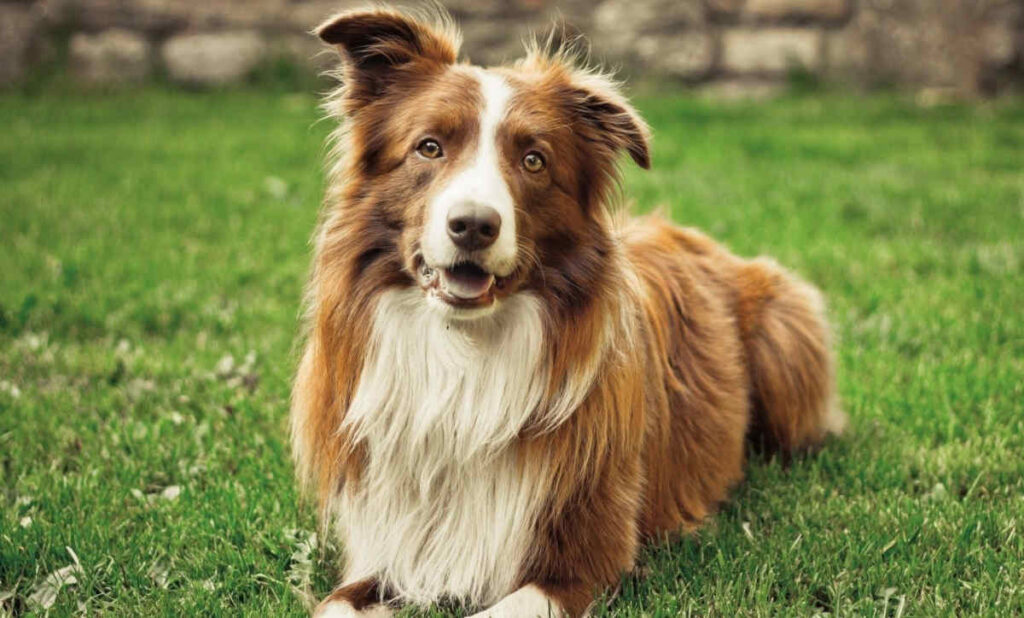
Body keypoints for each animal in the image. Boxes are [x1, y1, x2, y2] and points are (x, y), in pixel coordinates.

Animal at [290, 6, 847, 618]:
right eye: (429, 147)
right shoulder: (382, 549)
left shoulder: (584, 560)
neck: (464, 357)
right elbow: (335, 605)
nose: (474, 224)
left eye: (534, 161)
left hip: (783, 336)